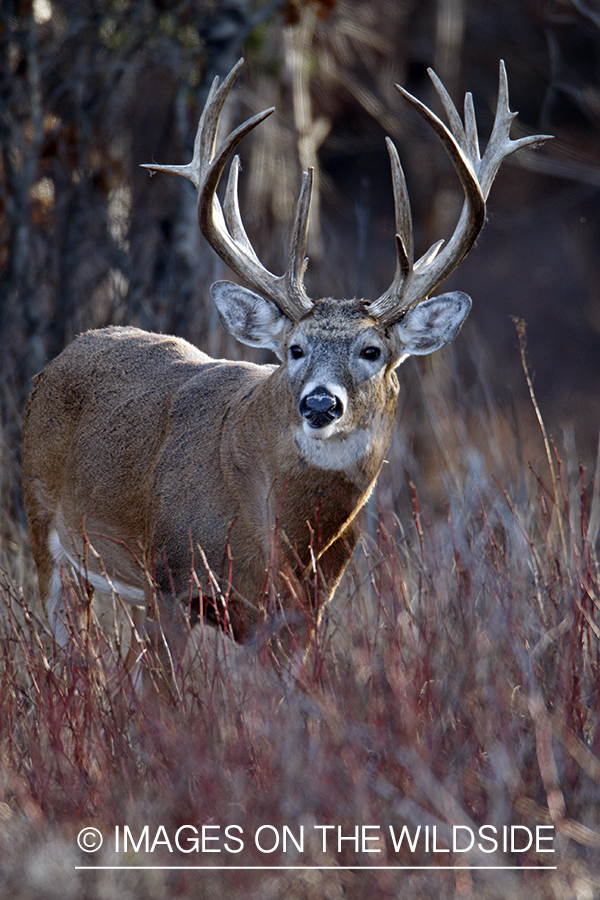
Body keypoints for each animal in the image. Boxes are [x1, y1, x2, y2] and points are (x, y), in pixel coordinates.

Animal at [22, 56, 548, 672]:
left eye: (372, 352)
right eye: (295, 349)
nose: (320, 403)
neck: (278, 533)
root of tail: (68, 349)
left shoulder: (302, 614)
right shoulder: (171, 581)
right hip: (43, 524)